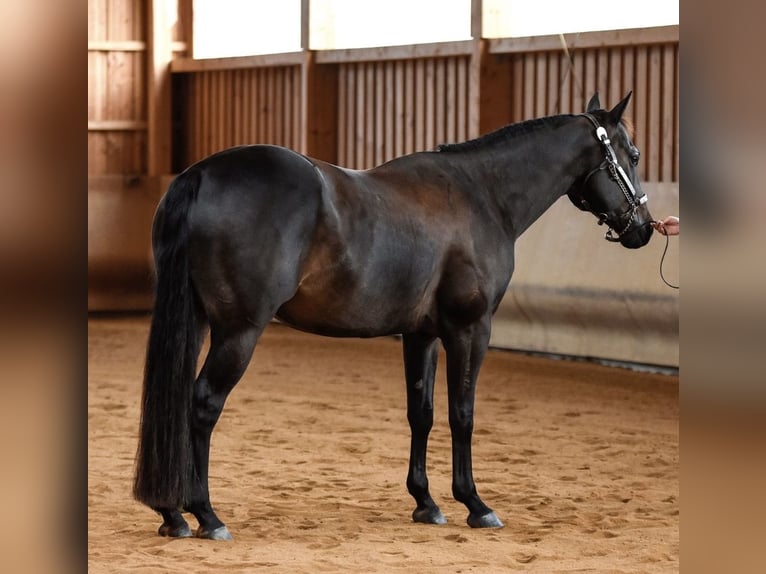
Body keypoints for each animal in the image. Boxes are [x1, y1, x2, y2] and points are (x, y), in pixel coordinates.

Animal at [133, 92, 653, 540]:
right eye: (632, 154)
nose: (644, 230)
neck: (483, 195)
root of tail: (200, 174)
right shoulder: (470, 329)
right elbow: (463, 414)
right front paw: (475, 504)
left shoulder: (421, 334)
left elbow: (420, 413)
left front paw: (426, 502)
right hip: (239, 332)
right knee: (203, 404)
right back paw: (205, 514)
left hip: (200, 322)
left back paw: (172, 515)